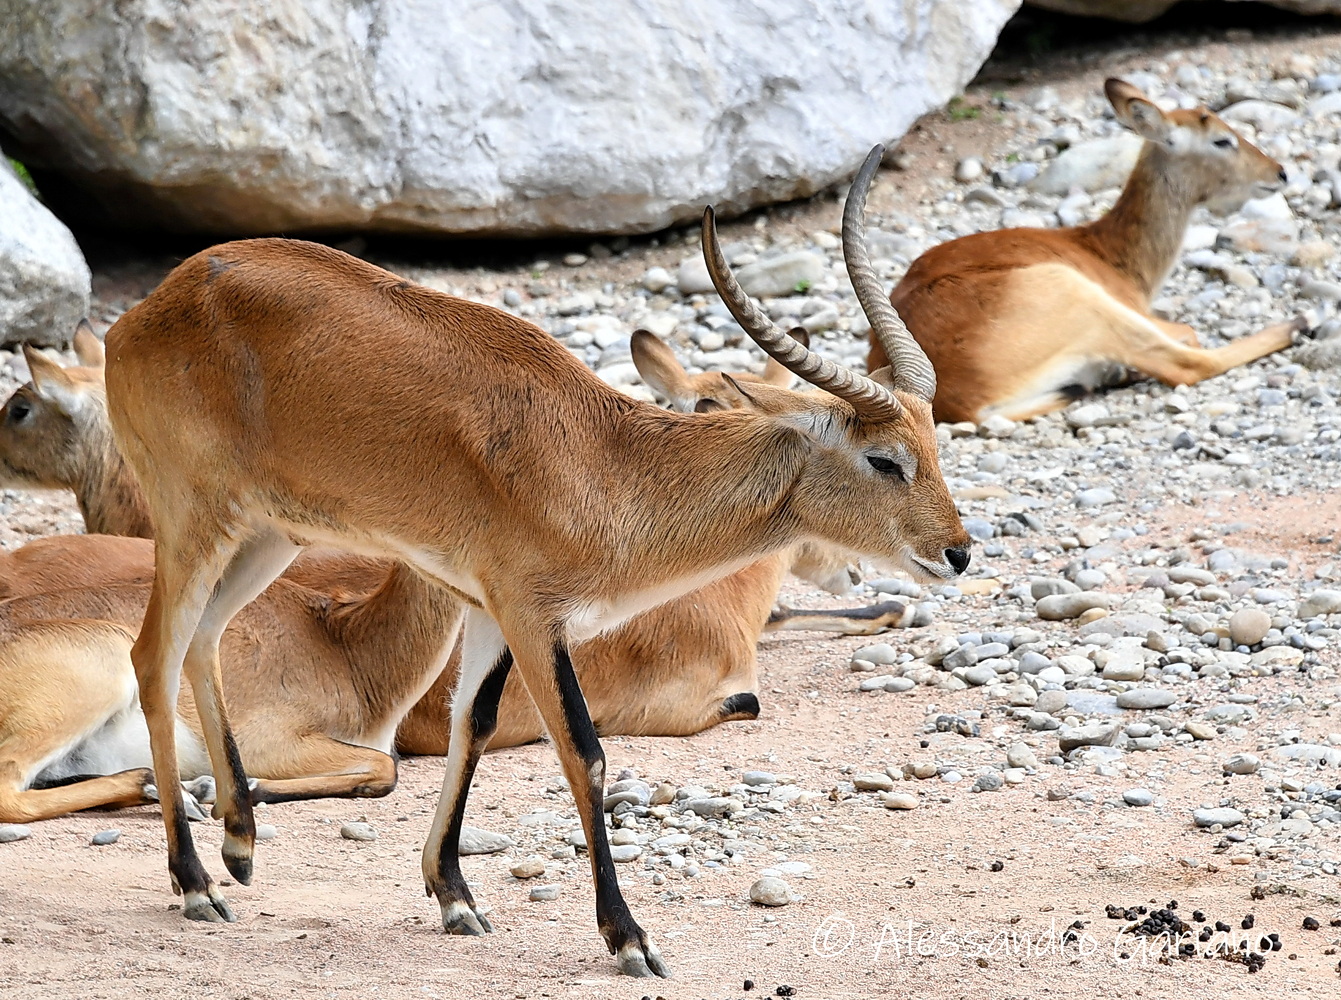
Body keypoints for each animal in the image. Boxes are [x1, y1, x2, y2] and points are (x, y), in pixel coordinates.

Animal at [101, 143, 968, 978]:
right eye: (885, 460)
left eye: (934, 443)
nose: (957, 551)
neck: (606, 463)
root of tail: (145, 310)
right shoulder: (532, 613)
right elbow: (585, 753)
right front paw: (628, 939)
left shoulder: (487, 610)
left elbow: (474, 726)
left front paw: (454, 896)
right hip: (194, 521)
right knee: (153, 654)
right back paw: (195, 883)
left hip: (268, 534)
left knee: (203, 640)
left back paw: (240, 846)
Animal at [868, 77, 1314, 423]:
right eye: (1222, 139)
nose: (1280, 172)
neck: (1107, 252)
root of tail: (960, 401)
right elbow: (1190, 337)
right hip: (1086, 302)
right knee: (1190, 365)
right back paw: (1297, 322)